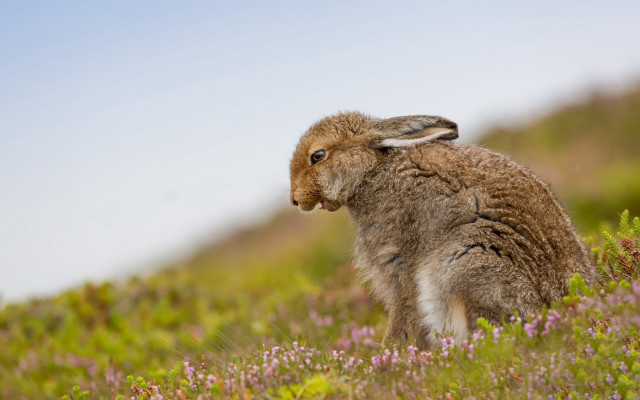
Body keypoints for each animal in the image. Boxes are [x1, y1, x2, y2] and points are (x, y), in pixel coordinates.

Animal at [289, 112, 597, 350]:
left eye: (317, 156)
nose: (295, 199)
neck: (373, 171)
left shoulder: (399, 262)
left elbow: (404, 311)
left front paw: (389, 354)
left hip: (466, 263)